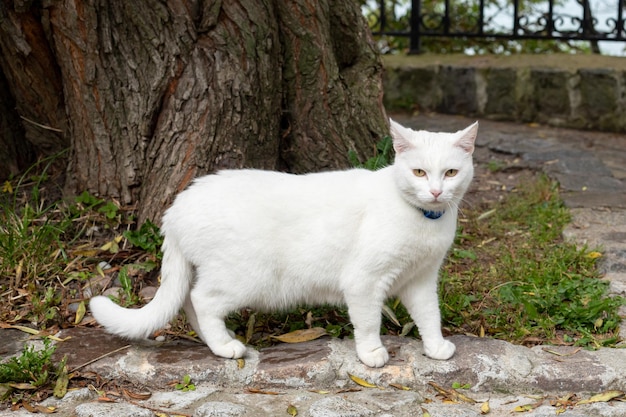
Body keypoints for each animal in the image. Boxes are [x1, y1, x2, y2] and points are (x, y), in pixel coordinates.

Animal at [90, 118, 476, 366]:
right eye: (419, 172)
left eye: (451, 173)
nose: (436, 192)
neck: (425, 220)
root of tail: (177, 206)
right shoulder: (364, 282)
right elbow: (368, 323)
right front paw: (370, 354)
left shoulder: (421, 280)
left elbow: (429, 315)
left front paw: (436, 347)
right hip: (245, 277)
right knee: (201, 301)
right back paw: (226, 347)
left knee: (188, 302)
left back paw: (219, 342)